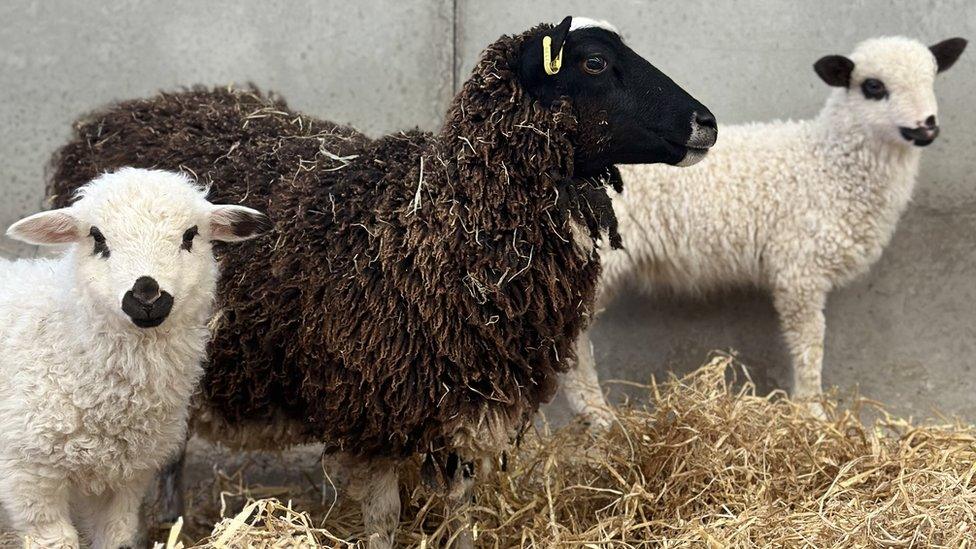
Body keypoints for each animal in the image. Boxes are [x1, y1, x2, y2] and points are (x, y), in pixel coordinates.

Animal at [0, 168, 266, 548]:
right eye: (96, 237)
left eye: (190, 235)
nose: (147, 295)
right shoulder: (29, 475)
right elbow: (55, 537)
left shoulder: (127, 478)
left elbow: (117, 533)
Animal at [47, 15, 716, 544]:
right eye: (595, 62)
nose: (705, 122)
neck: (441, 224)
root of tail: (121, 114)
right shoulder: (371, 406)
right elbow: (384, 521)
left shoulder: (465, 401)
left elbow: (461, 512)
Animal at [564, 35, 968, 424]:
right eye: (873, 86)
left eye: (932, 77)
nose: (927, 127)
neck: (829, 164)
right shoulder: (800, 270)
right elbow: (809, 343)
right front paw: (811, 412)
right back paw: (596, 415)